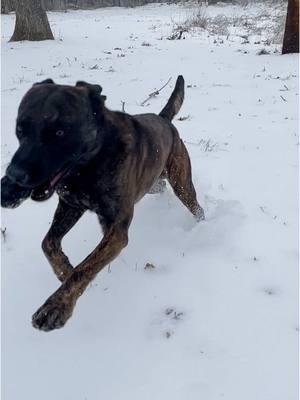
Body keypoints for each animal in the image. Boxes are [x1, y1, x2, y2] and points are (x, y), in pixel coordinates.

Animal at [0, 76, 204, 332]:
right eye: (20, 130)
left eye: (59, 132)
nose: (14, 175)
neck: (90, 163)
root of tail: (164, 120)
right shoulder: (70, 206)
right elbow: (48, 244)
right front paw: (64, 270)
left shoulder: (116, 231)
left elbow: (85, 267)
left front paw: (56, 307)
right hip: (155, 181)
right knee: (159, 187)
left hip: (181, 182)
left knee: (196, 206)